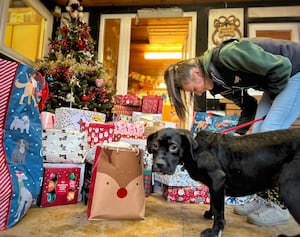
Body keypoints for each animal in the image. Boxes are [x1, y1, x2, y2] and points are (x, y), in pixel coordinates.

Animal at [148, 128, 300, 237]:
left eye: (173, 147)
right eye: (155, 145)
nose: (159, 164)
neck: (196, 150)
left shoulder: (217, 179)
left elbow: (219, 211)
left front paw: (214, 232)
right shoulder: (214, 186)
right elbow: (213, 204)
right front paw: (210, 215)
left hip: (290, 190)